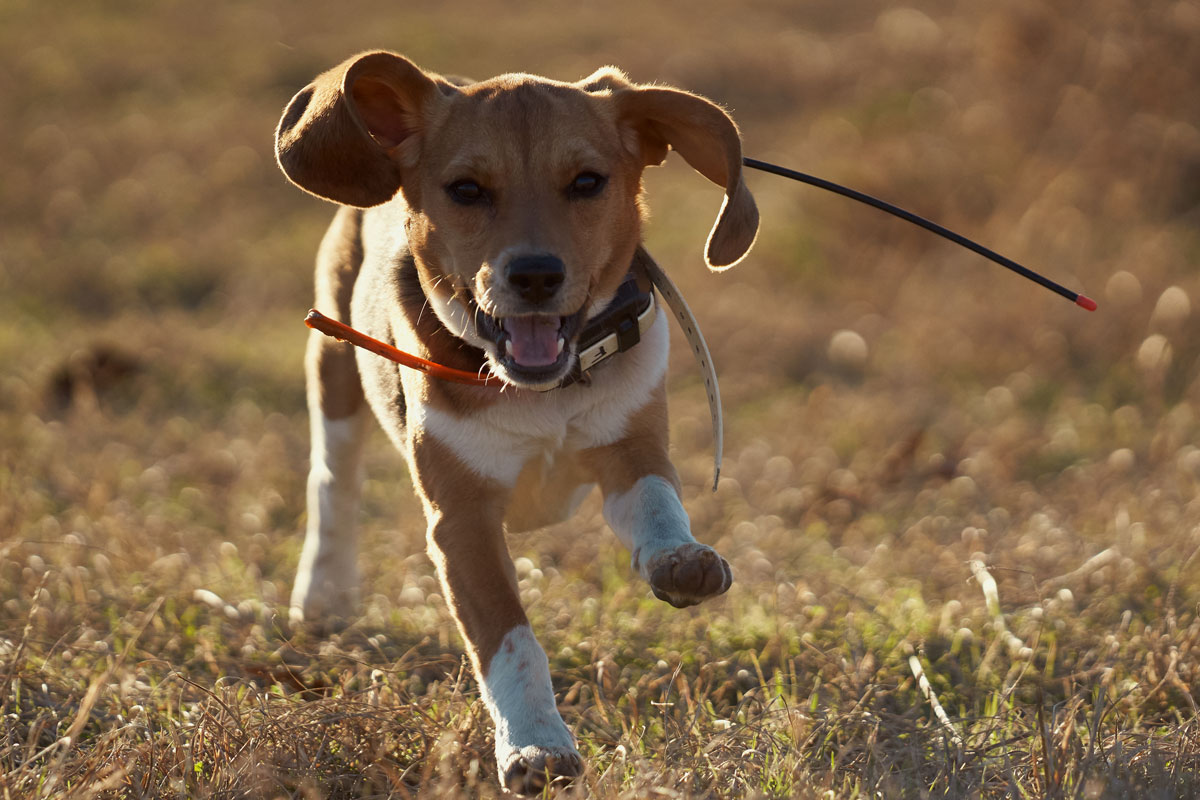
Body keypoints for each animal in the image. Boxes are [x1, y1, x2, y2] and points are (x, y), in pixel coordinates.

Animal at [276, 51, 753, 796]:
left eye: (586, 182)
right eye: (467, 189)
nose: (534, 275)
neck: (542, 391)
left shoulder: (630, 444)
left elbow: (657, 502)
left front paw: (681, 558)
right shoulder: (462, 521)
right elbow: (509, 638)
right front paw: (536, 746)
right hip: (333, 363)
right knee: (333, 482)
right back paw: (323, 594)